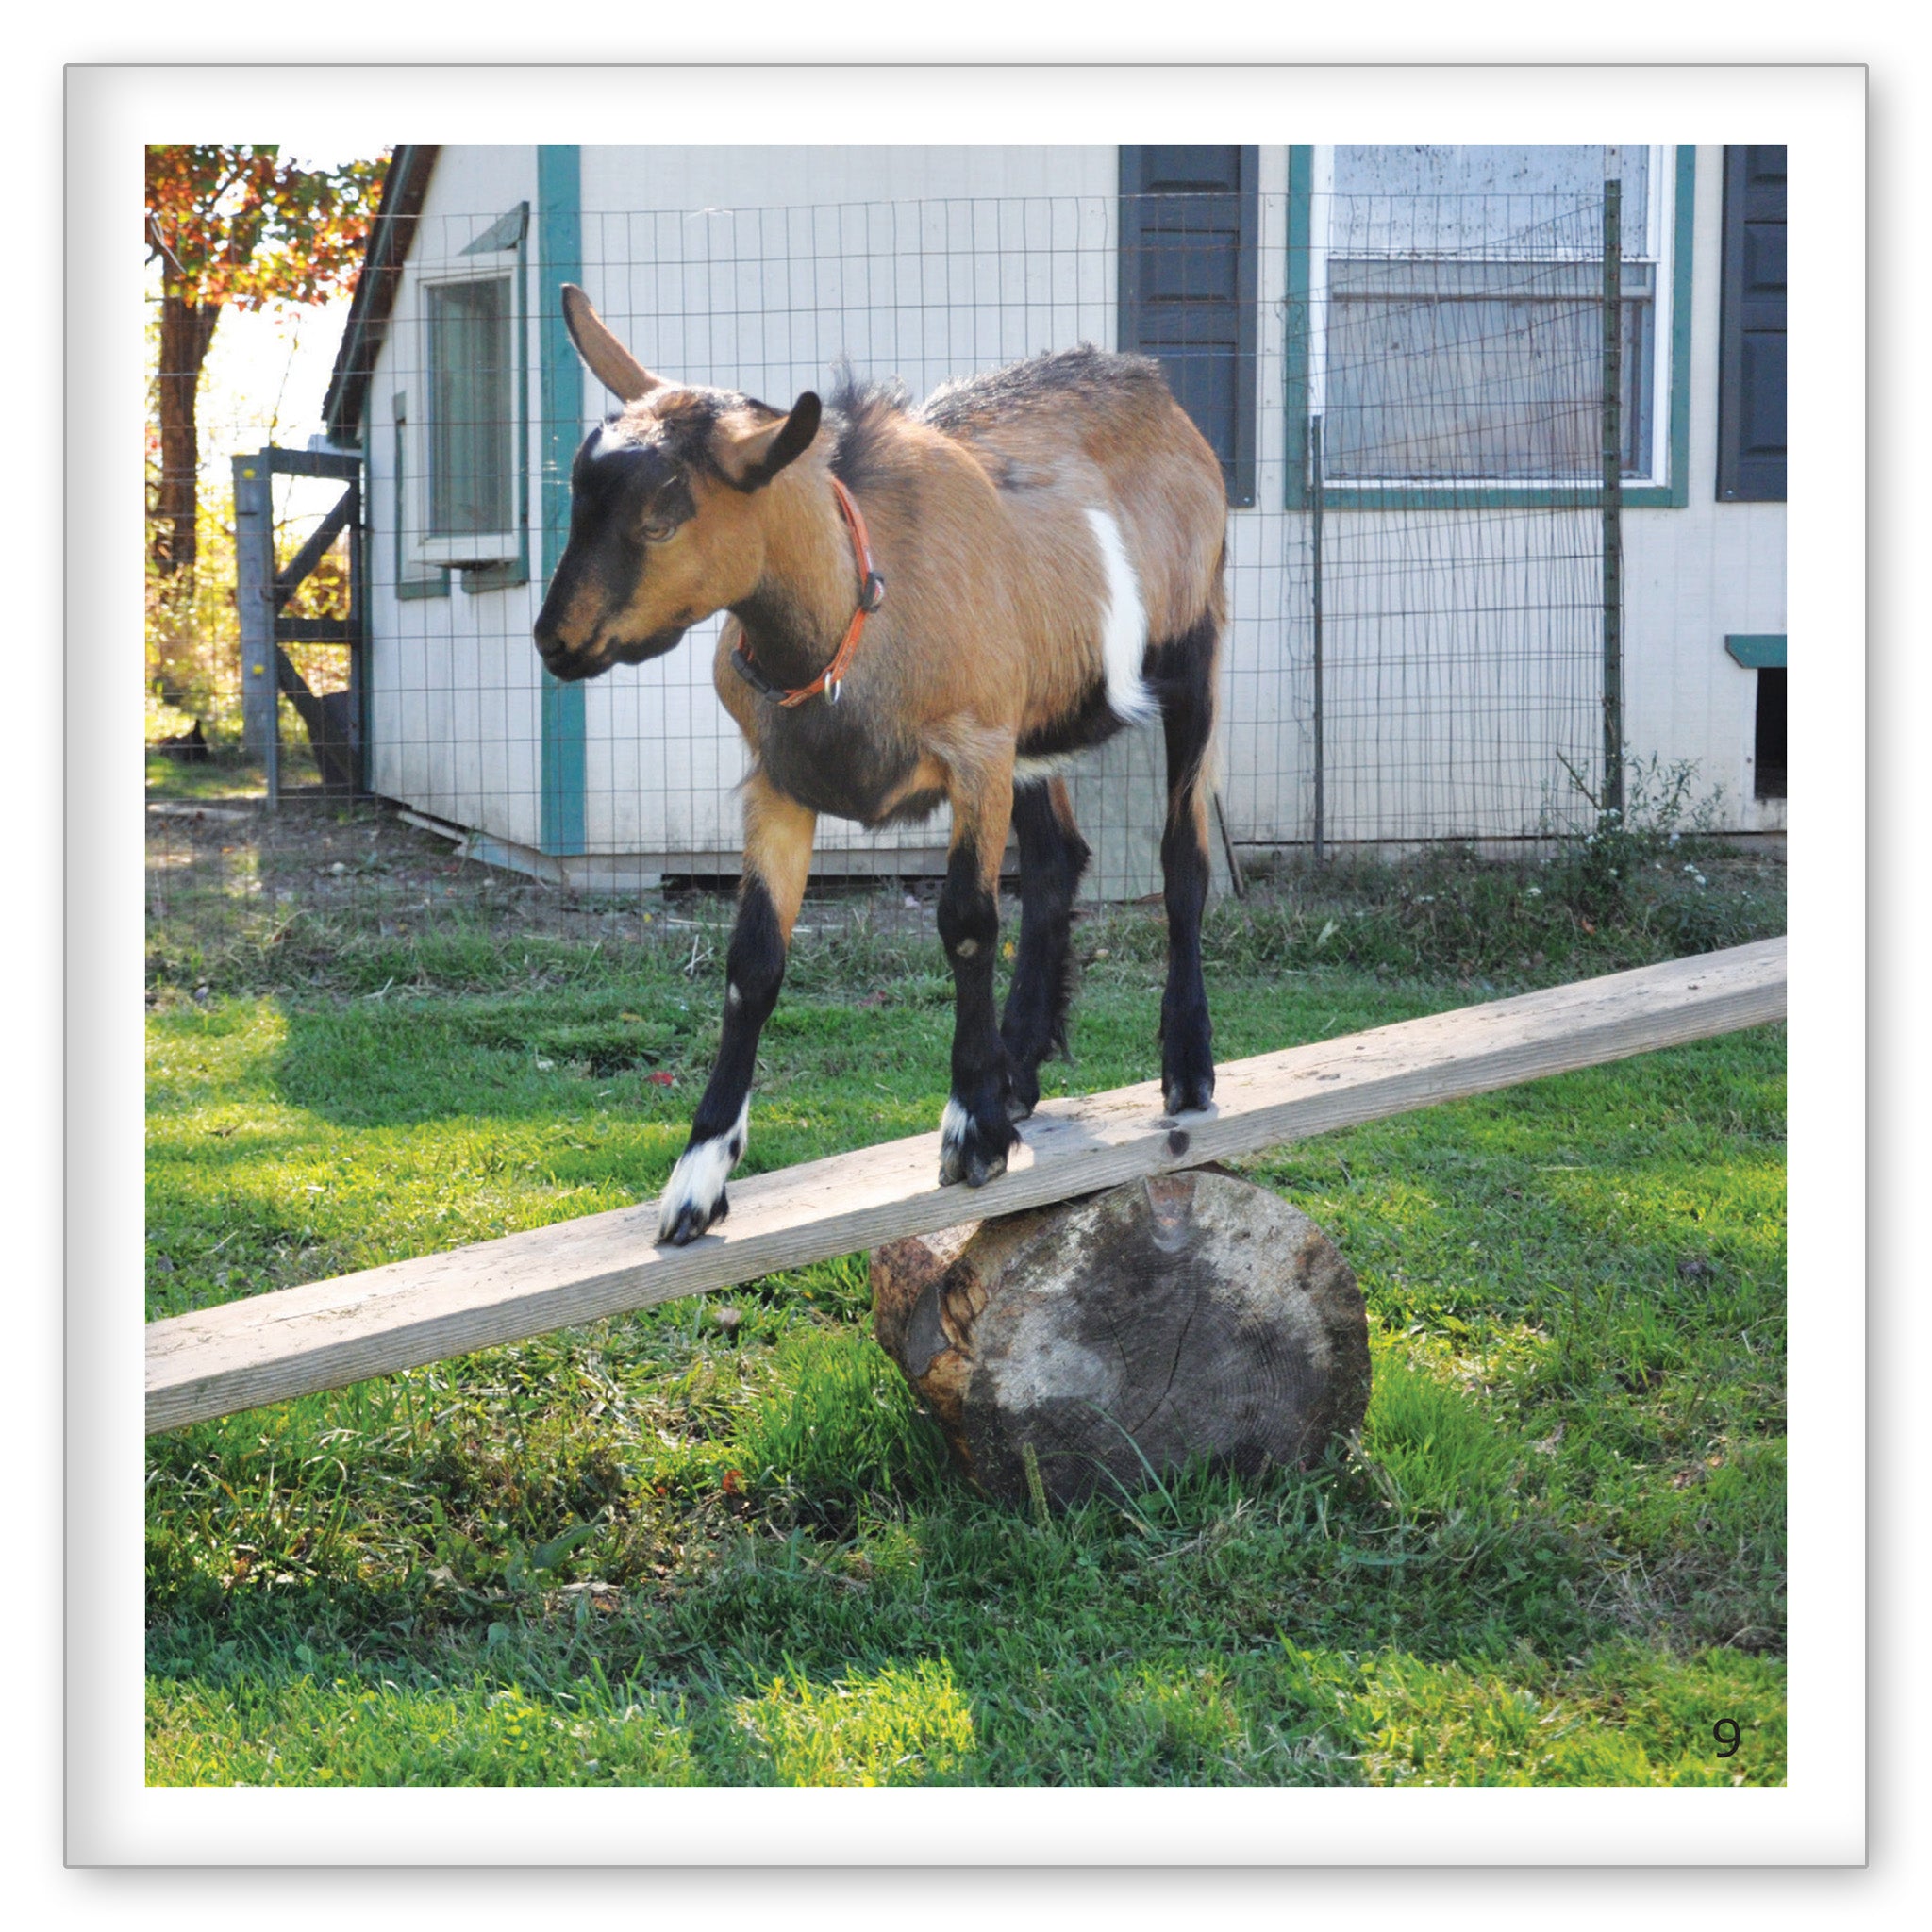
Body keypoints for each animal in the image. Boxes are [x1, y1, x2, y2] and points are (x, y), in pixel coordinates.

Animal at [534, 285, 1228, 1246]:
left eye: (661, 518)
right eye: (576, 497)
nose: (554, 641)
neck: (855, 615)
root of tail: (1153, 388)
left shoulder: (974, 753)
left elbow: (967, 923)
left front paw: (972, 1131)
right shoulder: (780, 783)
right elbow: (753, 964)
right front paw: (696, 1181)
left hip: (1195, 651)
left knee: (1181, 859)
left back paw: (1185, 1069)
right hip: (1030, 730)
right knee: (1059, 862)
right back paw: (1021, 1068)